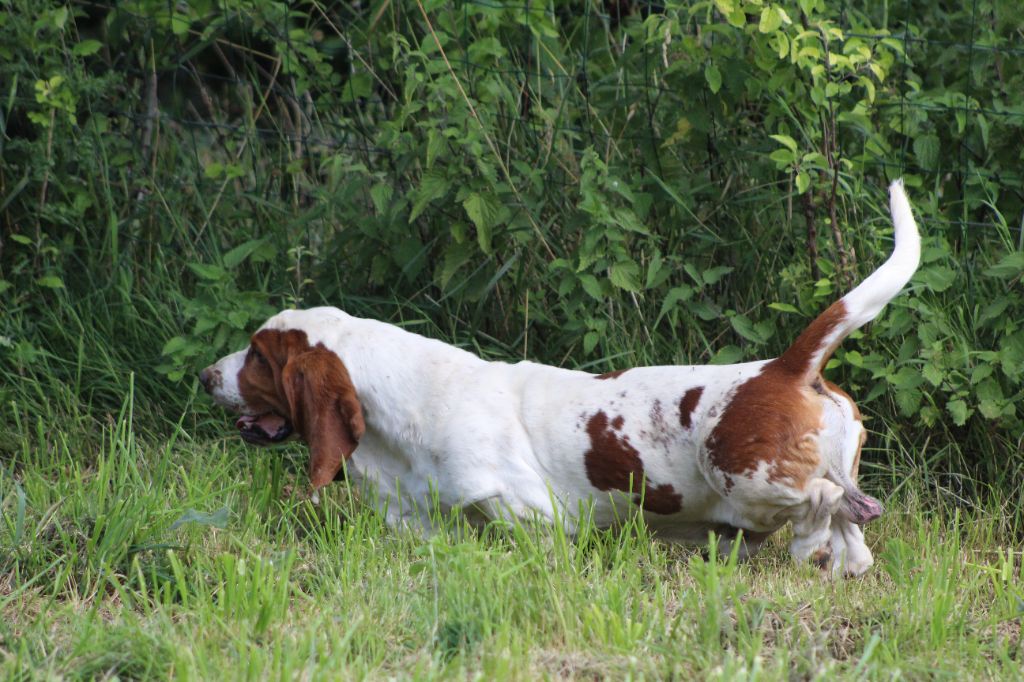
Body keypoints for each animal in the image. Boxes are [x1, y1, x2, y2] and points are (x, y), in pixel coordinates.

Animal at [199, 180, 921, 573]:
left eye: (258, 356)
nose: (207, 375)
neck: (400, 407)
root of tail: (787, 366)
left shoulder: (527, 513)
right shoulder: (423, 521)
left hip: (746, 482)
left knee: (827, 503)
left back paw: (807, 549)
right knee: (854, 525)